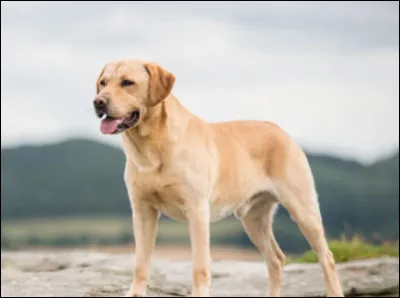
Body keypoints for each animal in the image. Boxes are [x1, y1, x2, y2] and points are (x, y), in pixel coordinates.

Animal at [93, 59, 344, 296]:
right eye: (103, 83)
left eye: (127, 82)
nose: (98, 102)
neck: (151, 146)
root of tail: (280, 130)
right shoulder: (142, 212)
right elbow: (141, 261)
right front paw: (135, 292)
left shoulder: (197, 211)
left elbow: (200, 265)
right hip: (253, 219)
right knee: (276, 260)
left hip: (303, 210)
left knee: (327, 257)